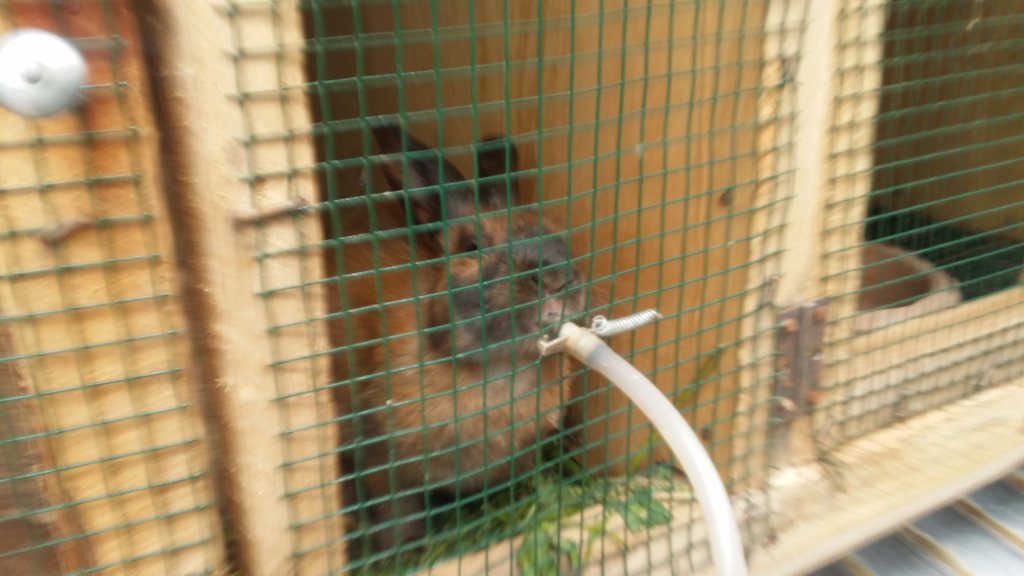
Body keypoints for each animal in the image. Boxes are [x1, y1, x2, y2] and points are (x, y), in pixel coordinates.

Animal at [332, 124, 587, 554]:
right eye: (472, 247)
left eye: (554, 233)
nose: (554, 278)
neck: (501, 372)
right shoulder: (381, 460)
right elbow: (396, 510)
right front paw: (411, 545)